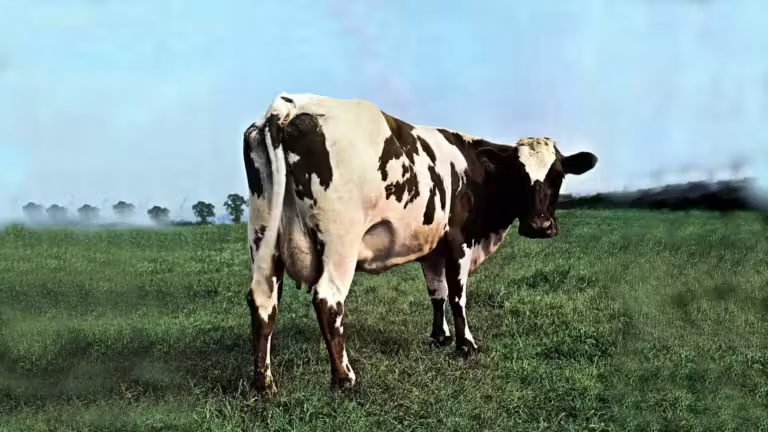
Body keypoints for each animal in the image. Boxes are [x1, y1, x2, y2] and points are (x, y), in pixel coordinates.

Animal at [243, 93, 597, 393]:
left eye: (558, 175)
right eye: (519, 175)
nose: (539, 226)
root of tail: (291, 105)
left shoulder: (432, 248)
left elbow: (436, 292)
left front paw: (440, 337)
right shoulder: (458, 241)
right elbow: (457, 295)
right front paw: (466, 344)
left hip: (262, 235)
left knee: (262, 300)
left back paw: (264, 384)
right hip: (340, 241)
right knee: (328, 301)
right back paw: (344, 378)